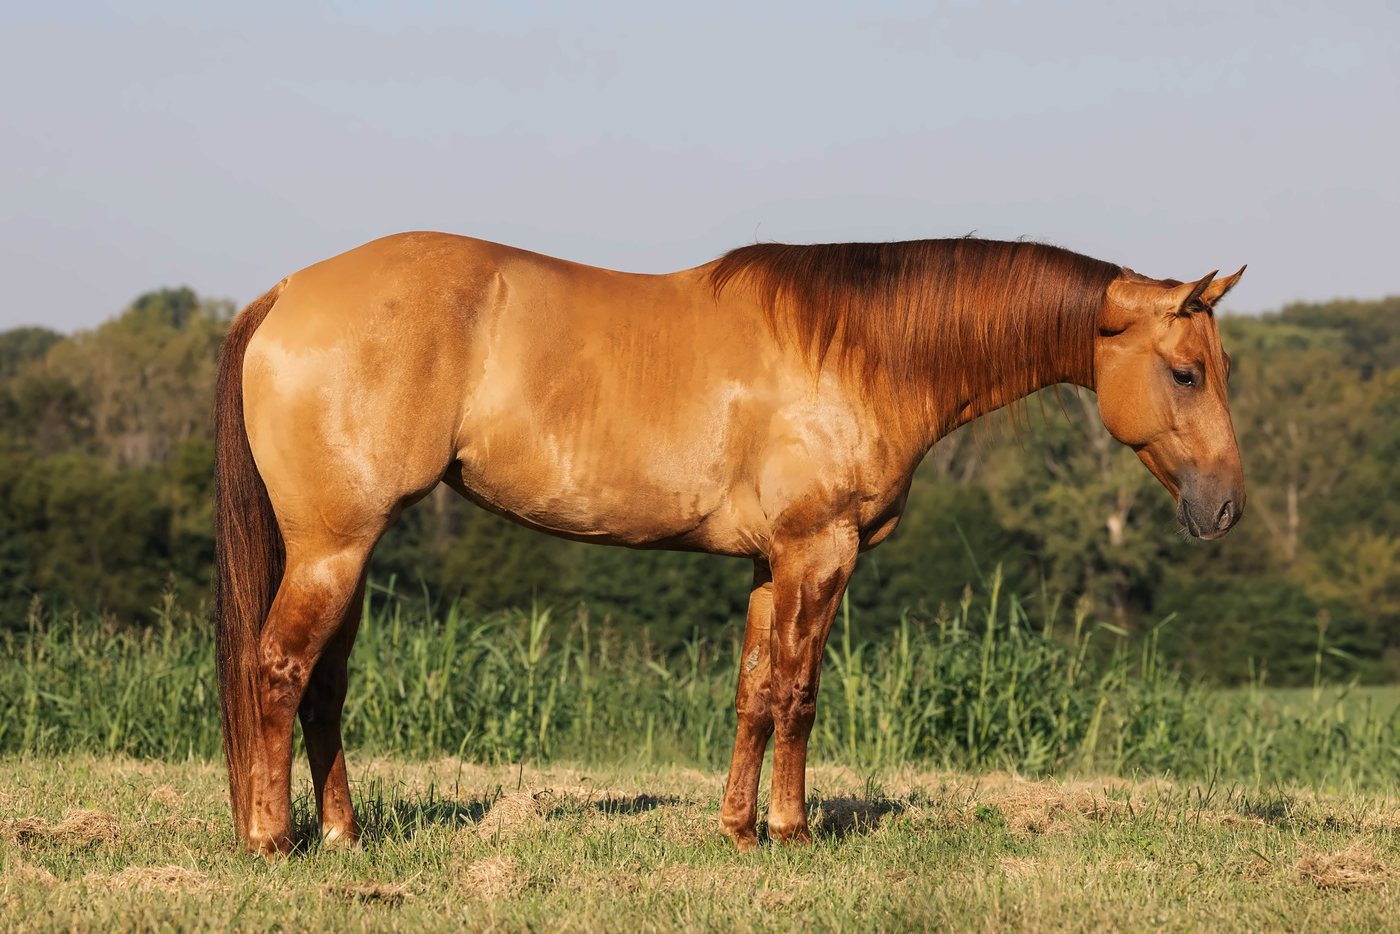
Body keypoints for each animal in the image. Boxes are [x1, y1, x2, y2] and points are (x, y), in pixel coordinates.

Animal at [213, 232, 1246, 855]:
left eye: (1220, 367)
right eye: (1186, 373)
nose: (1226, 508)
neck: (860, 348)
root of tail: (285, 294)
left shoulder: (767, 564)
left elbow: (754, 690)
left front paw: (738, 829)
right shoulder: (820, 553)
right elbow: (798, 693)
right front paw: (789, 831)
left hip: (348, 552)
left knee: (324, 685)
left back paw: (343, 836)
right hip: (332, 547)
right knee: (279, 669)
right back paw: (271, 840)